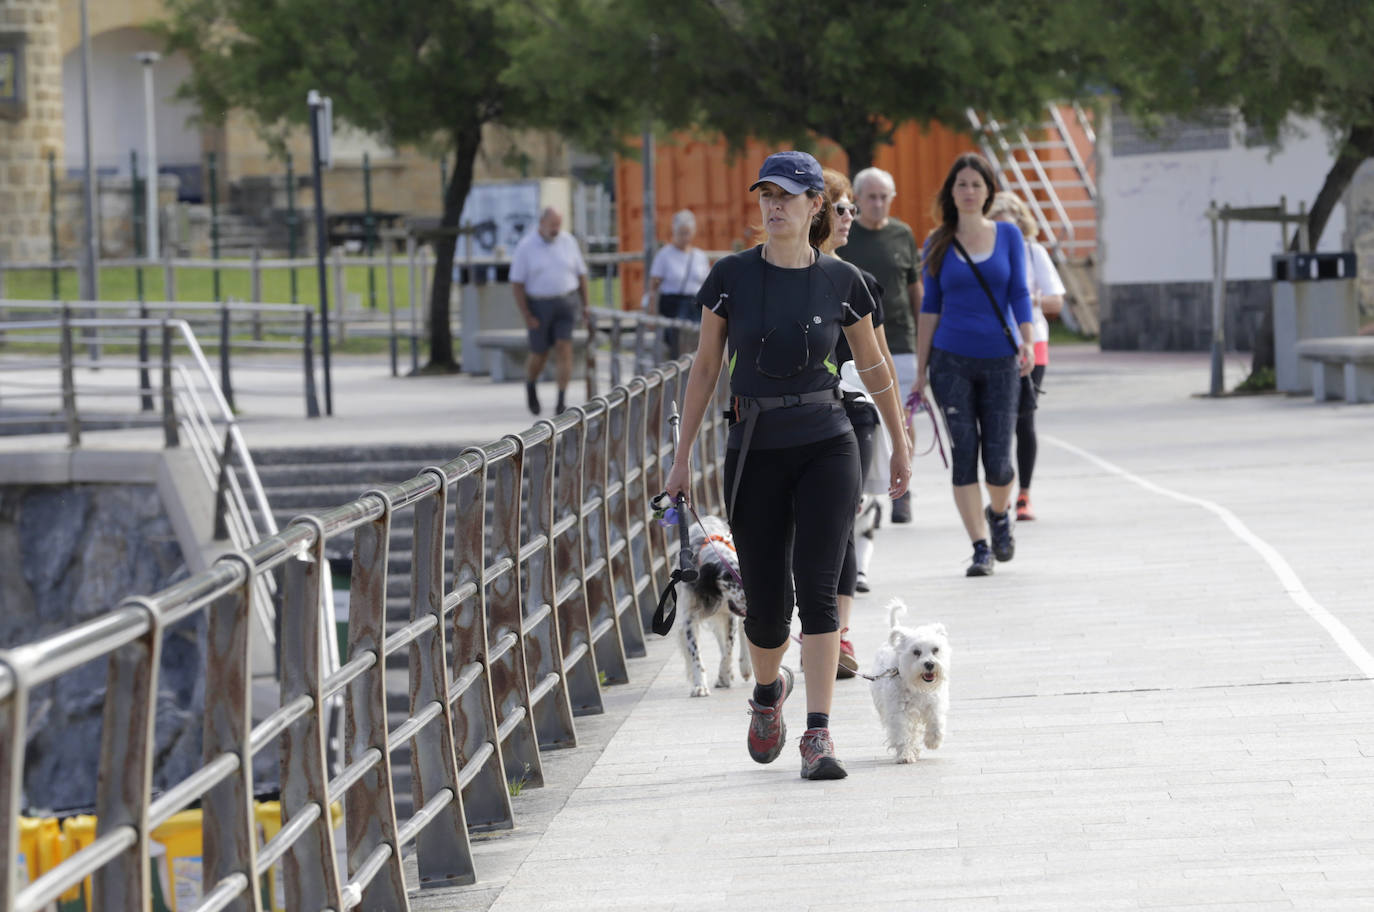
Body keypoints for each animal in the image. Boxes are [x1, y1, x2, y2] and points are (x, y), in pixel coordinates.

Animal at [676, 513, 752, 697]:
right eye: (727, 579)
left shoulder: (730, 615)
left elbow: (729, 647)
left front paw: (723, 675)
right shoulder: (688, 618)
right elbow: (695, 653)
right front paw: (700, 685)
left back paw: (745, 666)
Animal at [868, 598, 945, 763]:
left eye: (935, 649)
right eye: (916, 652)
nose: (929, 664)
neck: (917, 685)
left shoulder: (935, 702)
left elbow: (936, 722)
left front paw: (933, 742)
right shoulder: (899, 712)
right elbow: (902, 734)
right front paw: (905, 755)